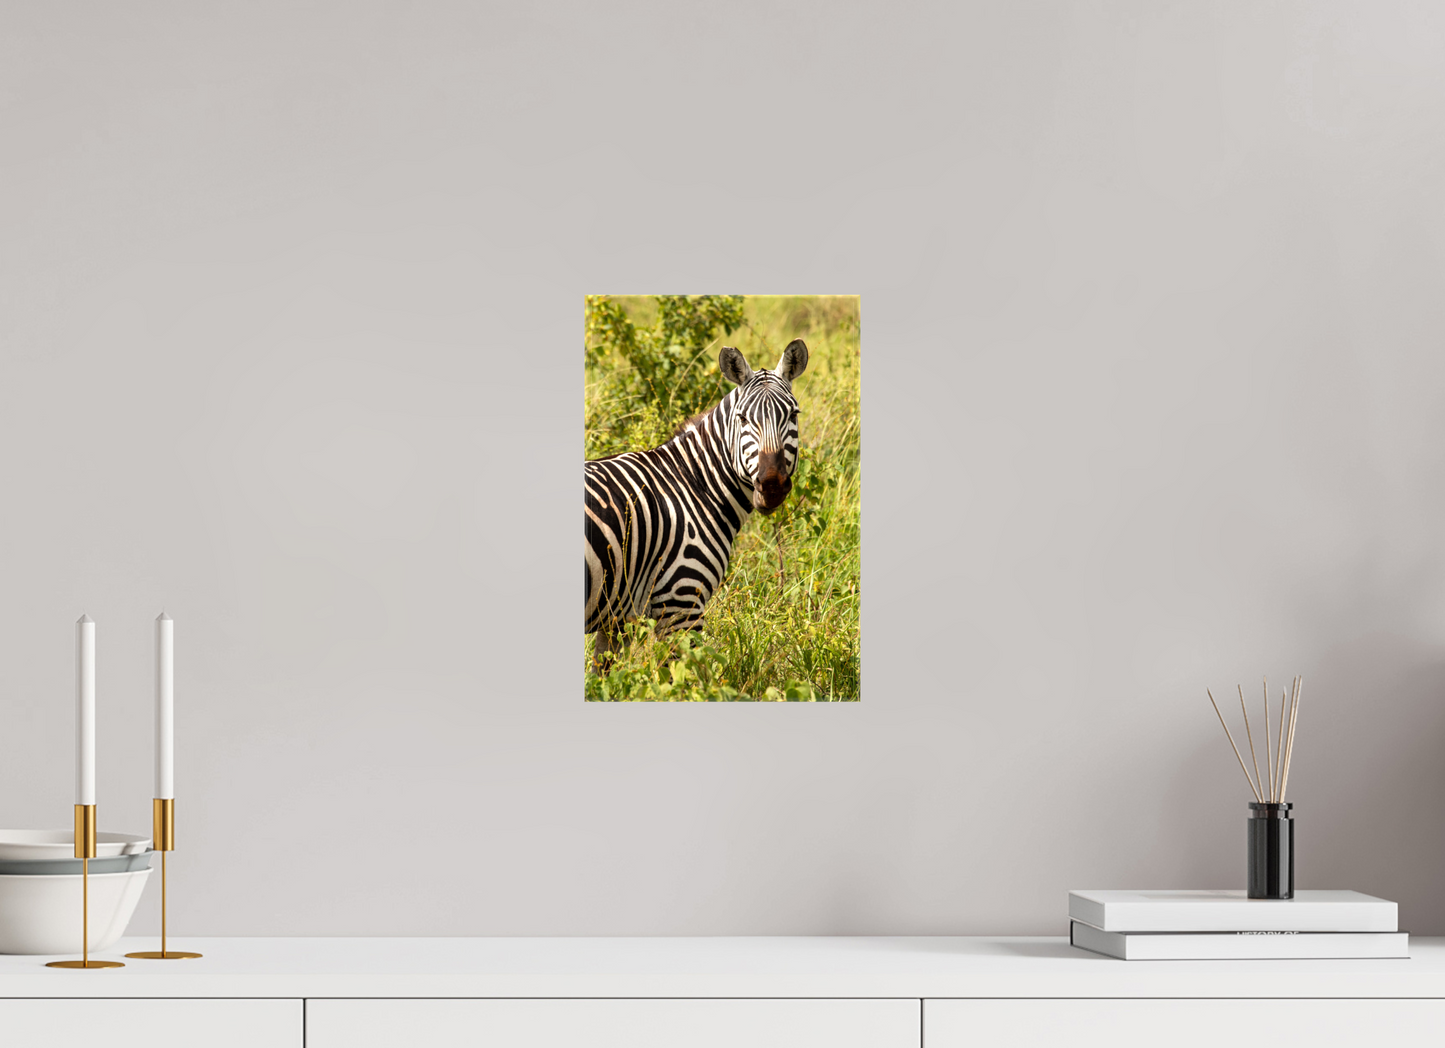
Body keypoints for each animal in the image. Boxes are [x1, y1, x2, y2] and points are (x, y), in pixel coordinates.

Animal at [585, 339, 809, 668]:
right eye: (743, 419)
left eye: (793, 415)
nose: (772, 486)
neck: (693, 483)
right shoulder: (681, 602)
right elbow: (686, 677)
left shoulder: (616, 618)